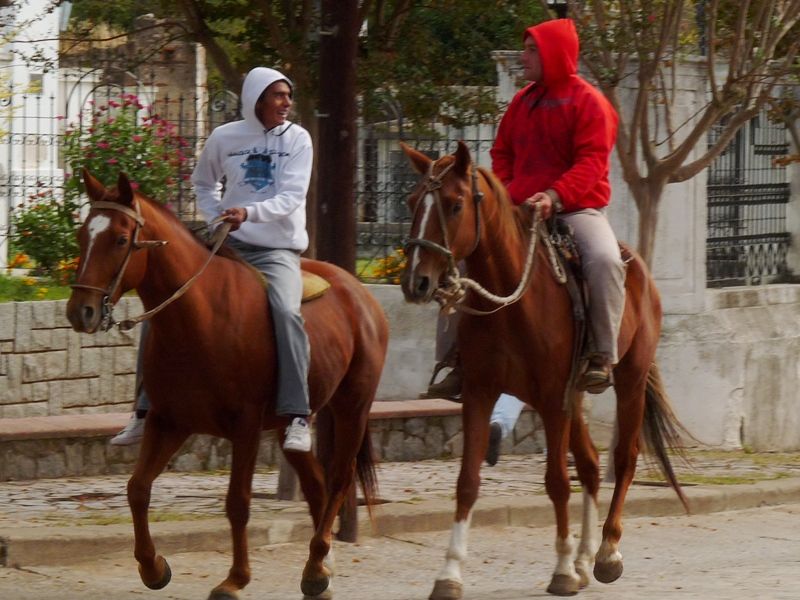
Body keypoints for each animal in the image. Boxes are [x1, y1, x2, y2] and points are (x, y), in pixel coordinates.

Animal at [65, 170, 388, 600]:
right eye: (82, 235)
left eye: (119, 239)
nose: (80, 311)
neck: (200, 317)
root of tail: (361, 295)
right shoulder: (168, 422)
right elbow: (137, 488)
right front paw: (153, 567)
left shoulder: (245, 427)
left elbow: (237, 503)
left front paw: (235, 579)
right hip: (290, 421)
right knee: (316, 484)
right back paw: (318, 569)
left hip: (352, 406)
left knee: (338, 480)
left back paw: (318, 561)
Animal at [400, 143, 688, 596]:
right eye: (413, 202)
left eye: (455, 204)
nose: (416, 282)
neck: (511, 300)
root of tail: (638, 264)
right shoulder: (481, 394)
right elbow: (467, 482)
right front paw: (449, 574)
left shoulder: (553, 400)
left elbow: (556, 481)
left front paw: (563, 569)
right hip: (575, 395)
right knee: (590, 463)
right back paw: (585, 557)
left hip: (630, 379)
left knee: (623, 458)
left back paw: (606, 552)